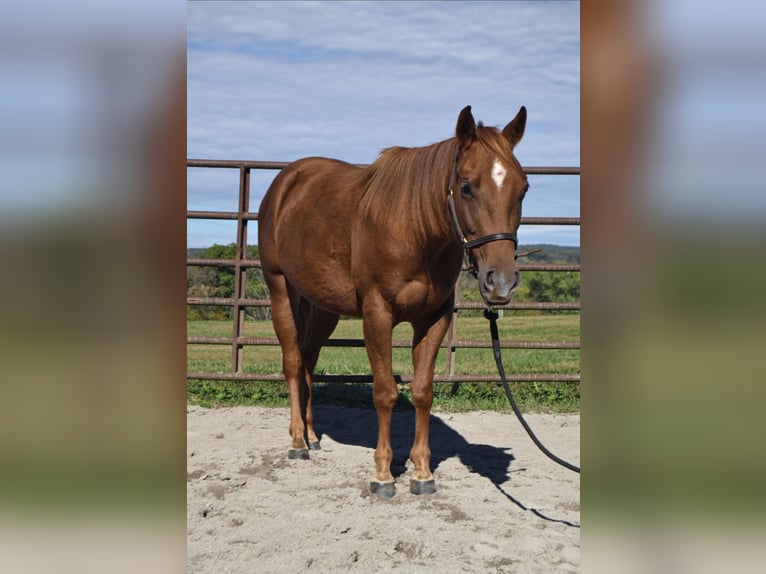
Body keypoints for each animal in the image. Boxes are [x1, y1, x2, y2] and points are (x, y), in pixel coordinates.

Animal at [258, 105, 529, 498]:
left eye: (523, 188)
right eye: (465, 186)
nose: (502, 281)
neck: (414, 230)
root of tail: (286, 182)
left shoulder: (434, 319)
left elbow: (422, 391)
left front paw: (422, 473)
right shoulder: (377, 314)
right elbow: (384, 392)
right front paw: (383, 475)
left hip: (323, 307)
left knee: (308, 361)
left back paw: (312, 435)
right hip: (280, 289)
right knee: (293, 362)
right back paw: (297, 443)